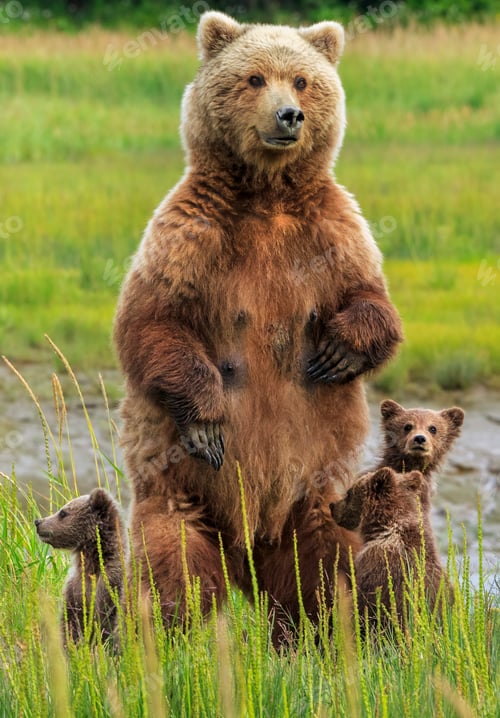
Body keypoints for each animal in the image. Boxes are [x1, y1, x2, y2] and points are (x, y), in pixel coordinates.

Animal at [35, 488, 126, 645]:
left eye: (63, 512)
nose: (38, 522)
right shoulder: (75, 587)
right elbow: (70, 621)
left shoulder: (112, 583)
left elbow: (106, 621)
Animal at [113, 11, 402, 637]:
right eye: (253, 78)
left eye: (301, 80)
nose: (288, 115)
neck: (267, 193)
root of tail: (248, 540)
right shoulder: (189, 232)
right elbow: (152, 321)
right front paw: (206, 418)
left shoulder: (334, 231)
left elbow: (372, 300)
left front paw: (338, 350)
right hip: (179, 488)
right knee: (173, 560)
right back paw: (174, 634)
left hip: (317, 489)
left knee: (324, 565)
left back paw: (326, 630)